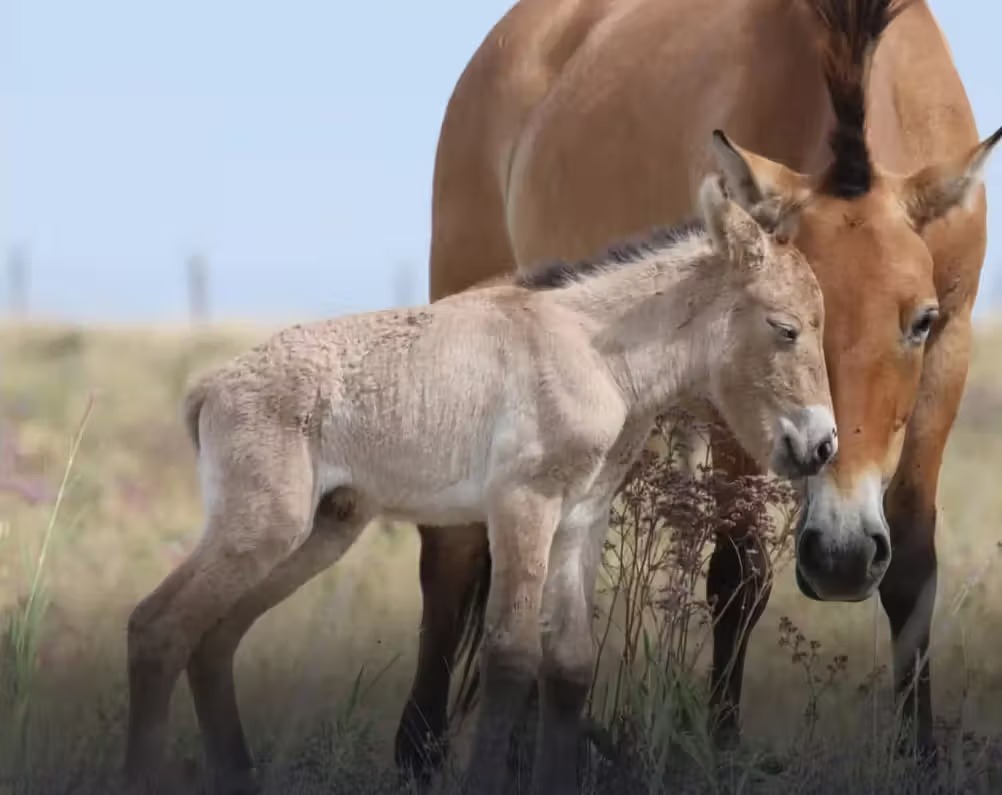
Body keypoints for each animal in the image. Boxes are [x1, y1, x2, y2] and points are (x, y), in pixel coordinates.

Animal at [123, 173, 836, 795]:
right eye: (786, 328)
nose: (821, 445)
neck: (594, 353)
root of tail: (211, 387)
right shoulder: (523, 505)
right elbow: (511, 656)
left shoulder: (581, 518)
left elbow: (569, 665)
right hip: (263, 528)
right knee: (158, 627)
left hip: (321, 531)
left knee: (213, 638)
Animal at [393, 0, 1002, 781]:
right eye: (775, 323)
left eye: (919, 321)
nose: (839, 558)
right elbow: (738, 573)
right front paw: (721, 747)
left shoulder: (950, 354)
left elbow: (914, 567)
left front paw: (918, 757)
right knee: (453, 555)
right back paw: (417, 752)